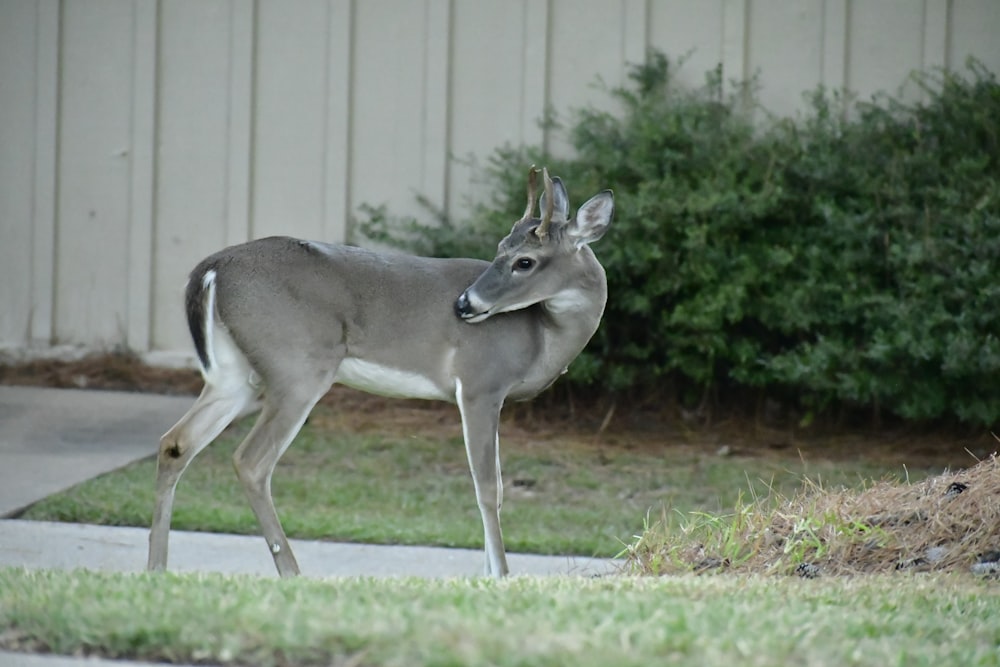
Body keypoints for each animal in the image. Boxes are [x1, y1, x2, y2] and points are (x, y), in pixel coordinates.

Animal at [146, 168, 616, 580]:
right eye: (504, 250)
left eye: (524, 260)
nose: (464, 304)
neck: (542, 335)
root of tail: (210, 269)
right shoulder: (480, 384)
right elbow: (489, 487)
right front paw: (500, 574)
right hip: (298, 367)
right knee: (251, 460)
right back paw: (292, 573)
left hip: (233, 376)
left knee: (176, 442)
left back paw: (156, 568)